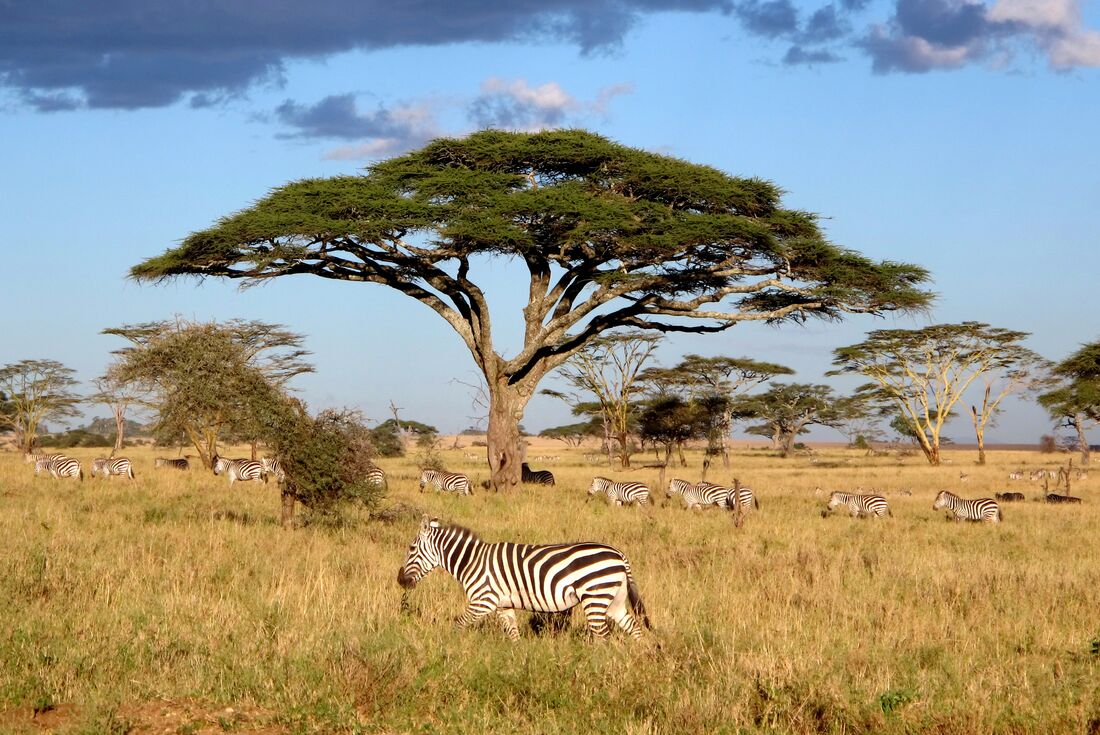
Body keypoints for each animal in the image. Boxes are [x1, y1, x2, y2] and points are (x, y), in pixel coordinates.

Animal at [398, 517, 646, 642]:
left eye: (411, 548)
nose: (401, 581)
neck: (471, 561)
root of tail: (618, 554)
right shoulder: (502, 605)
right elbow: (513, 635)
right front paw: (516, 665)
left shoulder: (483, 601)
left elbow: (458, 624)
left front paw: (450, 648)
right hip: (613, 600)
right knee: (634, 630)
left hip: (595, 597)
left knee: (603, 636)